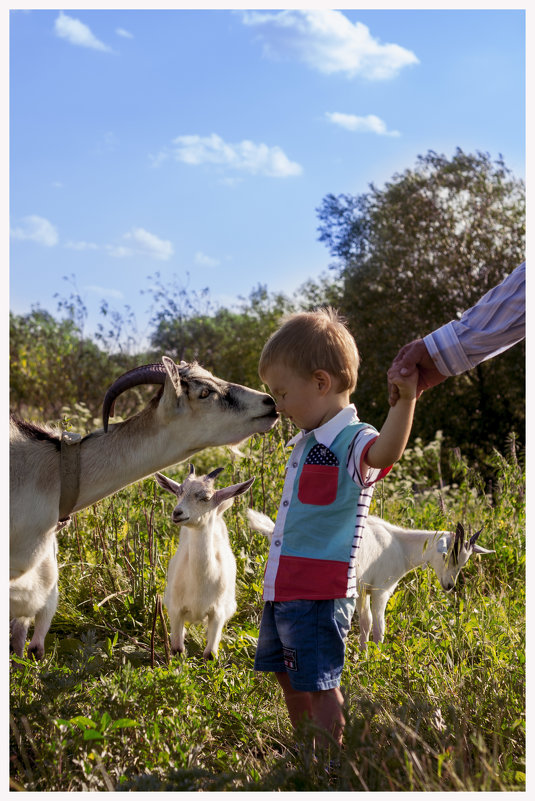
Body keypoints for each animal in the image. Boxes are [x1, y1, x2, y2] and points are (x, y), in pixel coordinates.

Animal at [156, 462, 254, 656]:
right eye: (179, 492)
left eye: (206, 498)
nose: (177, 513)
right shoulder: (175, 610)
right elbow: (177, 649)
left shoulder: (218, 614)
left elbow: (210, 654)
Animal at [247, 510, 494, 648]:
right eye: (446, 554)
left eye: (463, 562)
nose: (449, 586)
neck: (399, 545)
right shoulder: (380, 589)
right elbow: (378, 625)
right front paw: (376, 658)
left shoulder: (363, 589)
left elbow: (365, 623)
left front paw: (363, 654)